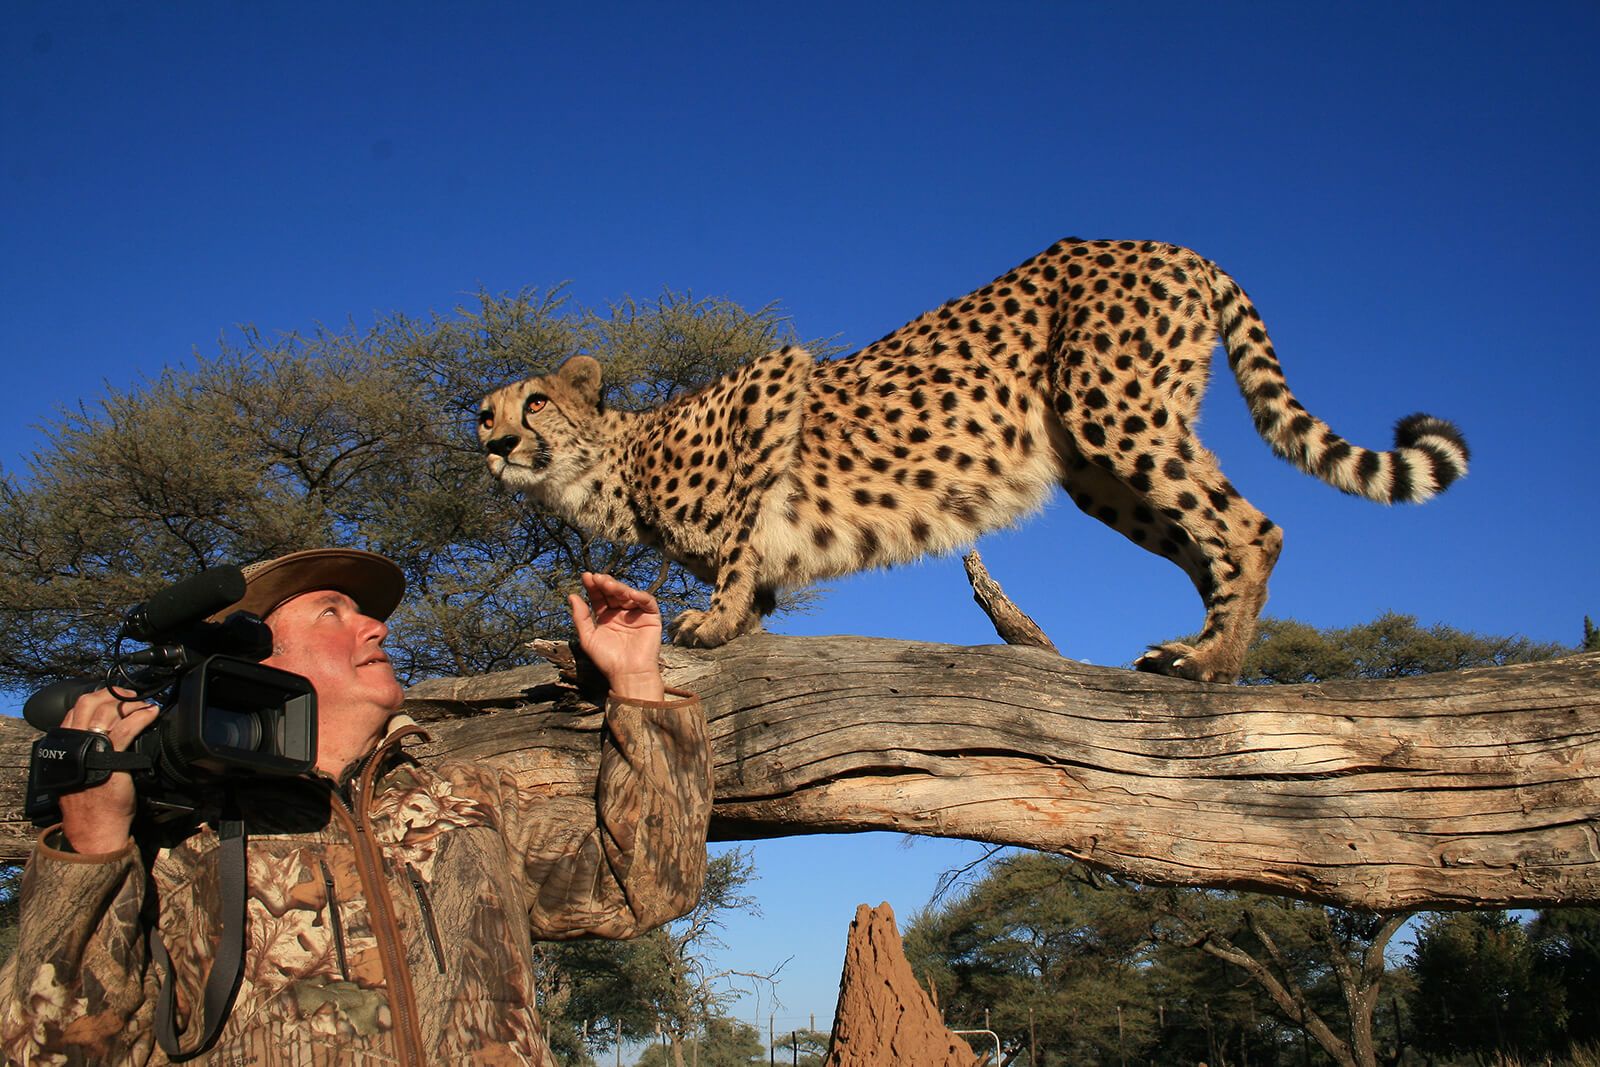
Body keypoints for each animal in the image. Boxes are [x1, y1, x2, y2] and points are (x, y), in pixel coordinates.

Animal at [477, 238, 1469, 682]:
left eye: (535, 403)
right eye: (483, 413)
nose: (494, 441)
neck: (608, 470)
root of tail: (1175, 246)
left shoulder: (771, 383)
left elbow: (740, 541)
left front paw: (714, 620)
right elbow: (755, 576)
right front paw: (740, 621)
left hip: (1117, 414)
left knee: (1252, 527)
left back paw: (1215, 660)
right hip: (1101, 471)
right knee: (1208, 544)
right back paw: (1195, 645)